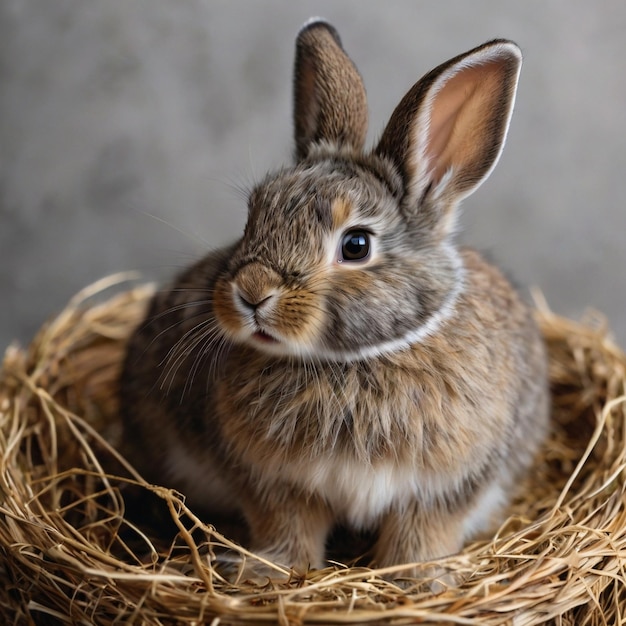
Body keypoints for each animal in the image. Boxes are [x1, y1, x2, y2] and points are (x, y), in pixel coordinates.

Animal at [117, 18, 544, 580]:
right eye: (253, 215)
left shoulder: (446, 488)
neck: (351, 362)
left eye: (356, 245)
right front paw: (266, 570)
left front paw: (419, 578)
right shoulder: (272, 481)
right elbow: (289, 530)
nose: (251, 293)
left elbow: (421, 536)